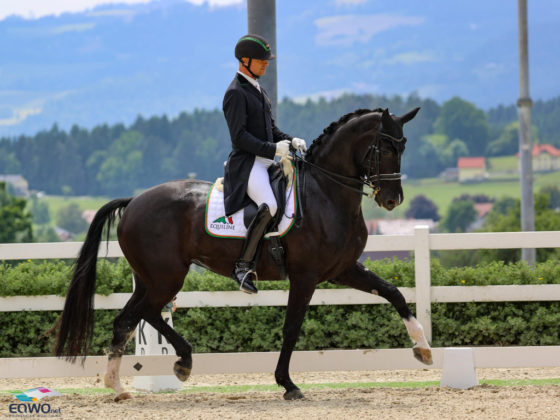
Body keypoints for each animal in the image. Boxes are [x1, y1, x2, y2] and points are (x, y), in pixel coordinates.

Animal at [53, 106, 434, 402]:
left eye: (402, 146)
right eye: (383, 146)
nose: (393, 200)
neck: (326, 193)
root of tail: (133, 202)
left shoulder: (343, 269)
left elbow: (394, 293)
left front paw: (424, 349)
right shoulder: (306, 276)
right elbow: (291, 328)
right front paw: (288, 384)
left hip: (151, 278)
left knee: (128, 319)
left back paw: (120, 386)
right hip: (165, 277)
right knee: (144, 313)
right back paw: (180, 363)